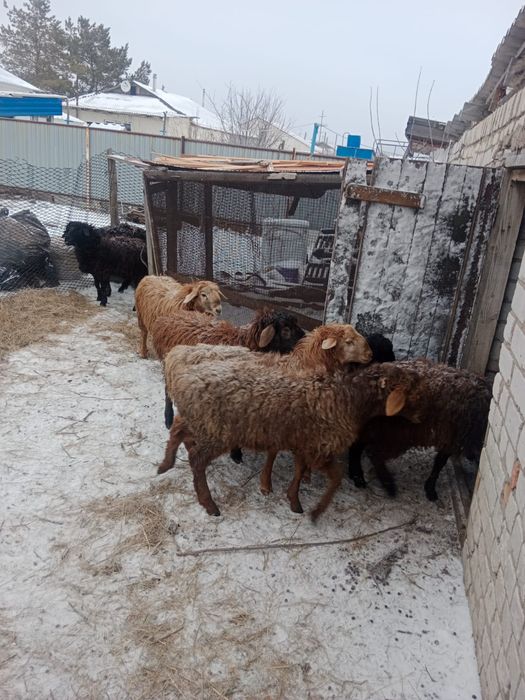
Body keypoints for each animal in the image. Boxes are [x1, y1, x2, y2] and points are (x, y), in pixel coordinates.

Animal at [151, 307, 306, 430]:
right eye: (286, 329)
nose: (305, 341)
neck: (243, 341)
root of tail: (166, 317)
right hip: (168, 361)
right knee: (167, 389)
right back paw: (168, 418)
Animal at [158, 350, 420, 519]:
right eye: (411, 393)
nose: (420, 419)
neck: (349, 399)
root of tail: (182, 378)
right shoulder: (319, 447)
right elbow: (335, 476)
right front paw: (316, 512)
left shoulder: (303, 442)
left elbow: (299, 469)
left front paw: (294, 500)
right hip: (216, 430)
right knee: (196, 459)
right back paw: (209, 504)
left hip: (202, 422)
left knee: (178, 429)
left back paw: (165, 464)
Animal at [348, 359, 491, 501]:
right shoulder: (452, 439)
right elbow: (440, 463)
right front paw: (431, 490)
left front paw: (429, 488)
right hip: (396, 433)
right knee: (373, 453)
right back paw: (388, 486)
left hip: (377, 428)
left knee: (357, 447)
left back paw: (357, 477)